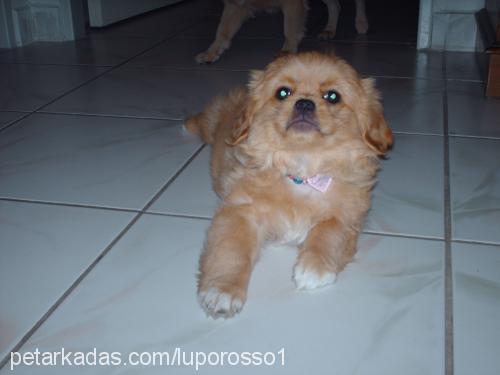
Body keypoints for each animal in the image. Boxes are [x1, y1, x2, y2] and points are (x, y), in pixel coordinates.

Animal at [186, 51, 392, 318]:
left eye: (333, 96)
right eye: (282, 92)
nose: (304, 103)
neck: (302, 170)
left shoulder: (349, 217)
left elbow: (329, 231)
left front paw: (314, 268)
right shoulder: (239, 211)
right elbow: (231, 250)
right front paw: (222, 291)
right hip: (211, 123)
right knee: (203, 121)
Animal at [195, 0, 368, 64]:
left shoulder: (293, 4)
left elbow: (290, 28)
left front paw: (287, 51)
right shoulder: (236, 6)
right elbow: (222, 31)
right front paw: (211, 52)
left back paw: (361, 22)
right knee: (335, 6)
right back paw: (329, 29)